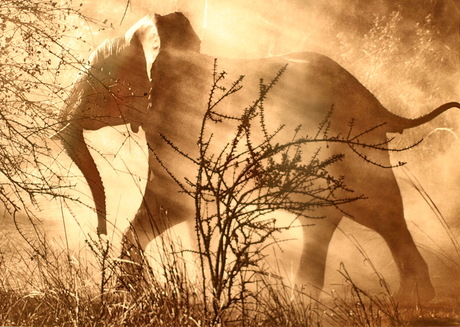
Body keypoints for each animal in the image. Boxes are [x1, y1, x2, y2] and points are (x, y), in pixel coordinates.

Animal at [55, 12, 458, 304]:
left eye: (96, 76)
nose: (98, 231)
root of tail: (378, 104)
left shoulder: (183, 123)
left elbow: (173, 201)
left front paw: (128, 293)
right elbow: (183, 209)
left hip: (353, 141)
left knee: (373, 207)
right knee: (350, 215)